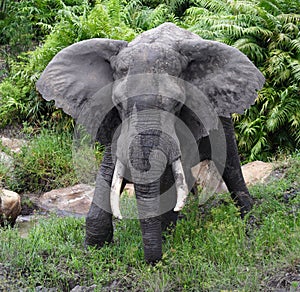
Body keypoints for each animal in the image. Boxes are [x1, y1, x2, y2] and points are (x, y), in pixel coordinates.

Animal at [36, 22, 264, 264]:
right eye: (119, 104)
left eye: (176, 105)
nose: (154, 262)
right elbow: (109, 169)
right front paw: (93, 249)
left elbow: (165, 177)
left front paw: (164, 237)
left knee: (230, 165)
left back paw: (250, 224)